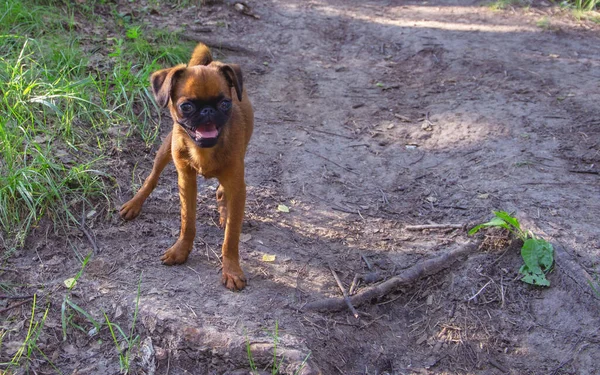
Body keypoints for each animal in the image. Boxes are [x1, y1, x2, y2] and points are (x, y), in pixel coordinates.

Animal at [119, 43, 253, 290]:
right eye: (187, 106)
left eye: (225, 103)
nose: (208, 110)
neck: (204, 151)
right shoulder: (186, 182)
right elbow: (187, 221)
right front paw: (180, 251)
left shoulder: (238, 186)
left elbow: (231, 237)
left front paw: (231, 270)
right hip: (166, 148)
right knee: (152, 177)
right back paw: (134, 204)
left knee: (222, 192)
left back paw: (224, 210)